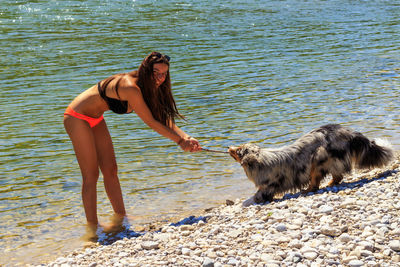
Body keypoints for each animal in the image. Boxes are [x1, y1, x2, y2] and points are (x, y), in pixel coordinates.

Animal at [228, 124, 394, 207]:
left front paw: (247, 202)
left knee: (320, 181)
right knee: (336, 176)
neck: (260, 160)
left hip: (318, 158)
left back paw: (309, 189)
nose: (228, 147)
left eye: (238, 150)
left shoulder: (267, 186)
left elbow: (257, 196)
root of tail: (348, 132)